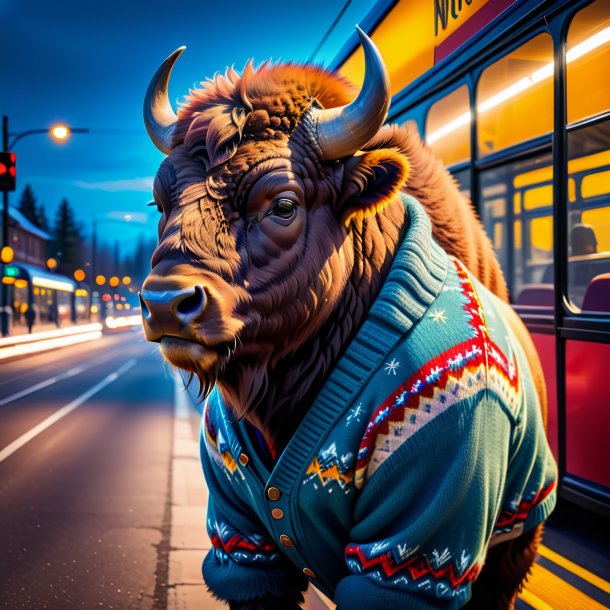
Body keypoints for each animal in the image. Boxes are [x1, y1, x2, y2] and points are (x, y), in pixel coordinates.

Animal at [139, 27, 556, 608]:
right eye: (161, 202)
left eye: (283, 204)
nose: (165, 303)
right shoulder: (244, 544)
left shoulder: (410, 554)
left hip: (516, 543)